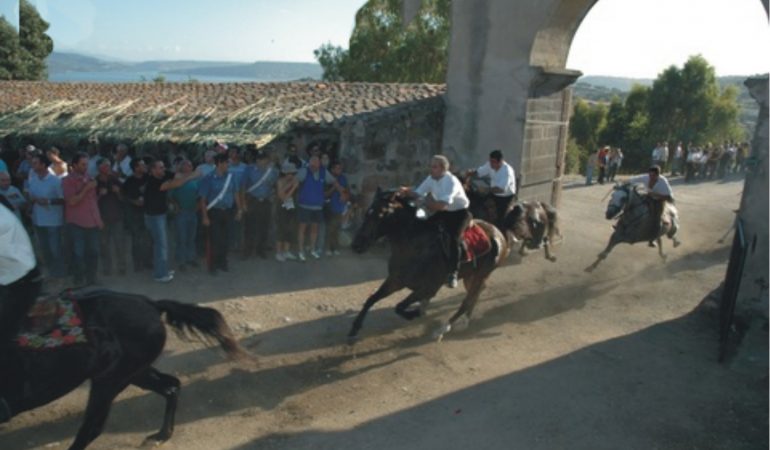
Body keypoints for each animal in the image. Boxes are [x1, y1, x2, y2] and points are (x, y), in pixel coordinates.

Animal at [0, 288, 246, 450]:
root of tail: (151, 304)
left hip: (110, 381)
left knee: (92, 428)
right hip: (135, 372)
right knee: (171, 386)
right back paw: (161, 435)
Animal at [350, 189, 510, 342]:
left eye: (381, 214)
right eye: (367, 212)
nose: (357, 244)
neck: (414, 247)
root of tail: (498, 233)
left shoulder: (429, 287)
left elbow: (400, 306)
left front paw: (414, 313)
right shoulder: (395, 280)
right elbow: (371, 299)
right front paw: (354, 330)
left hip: (481, 275)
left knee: (467, 300)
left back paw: (442, 329)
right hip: (470, 276)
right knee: (475, 294)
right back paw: (465, 322)